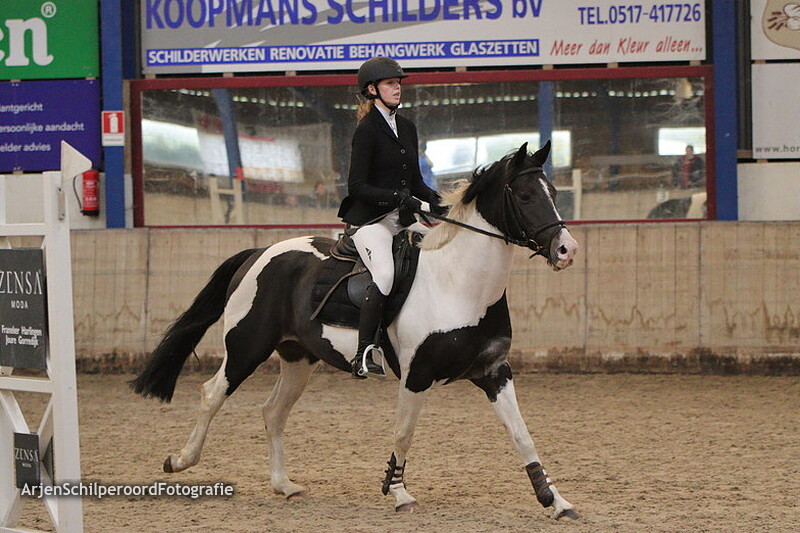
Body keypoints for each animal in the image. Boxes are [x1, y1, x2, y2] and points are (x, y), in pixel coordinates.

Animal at [130, 141, 580, 520]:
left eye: (553, 192)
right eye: (525, 196)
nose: (566, 250)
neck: (459, 284)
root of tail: (260, 252)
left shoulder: (494, 372)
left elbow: (522, 436)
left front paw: (555, 501)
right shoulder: (417, 377)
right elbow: (403, 433)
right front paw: (397, 492)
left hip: (298, 358)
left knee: (273, 412)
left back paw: (284, 485)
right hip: (246, 348)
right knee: (212, 394)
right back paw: (180, 460)